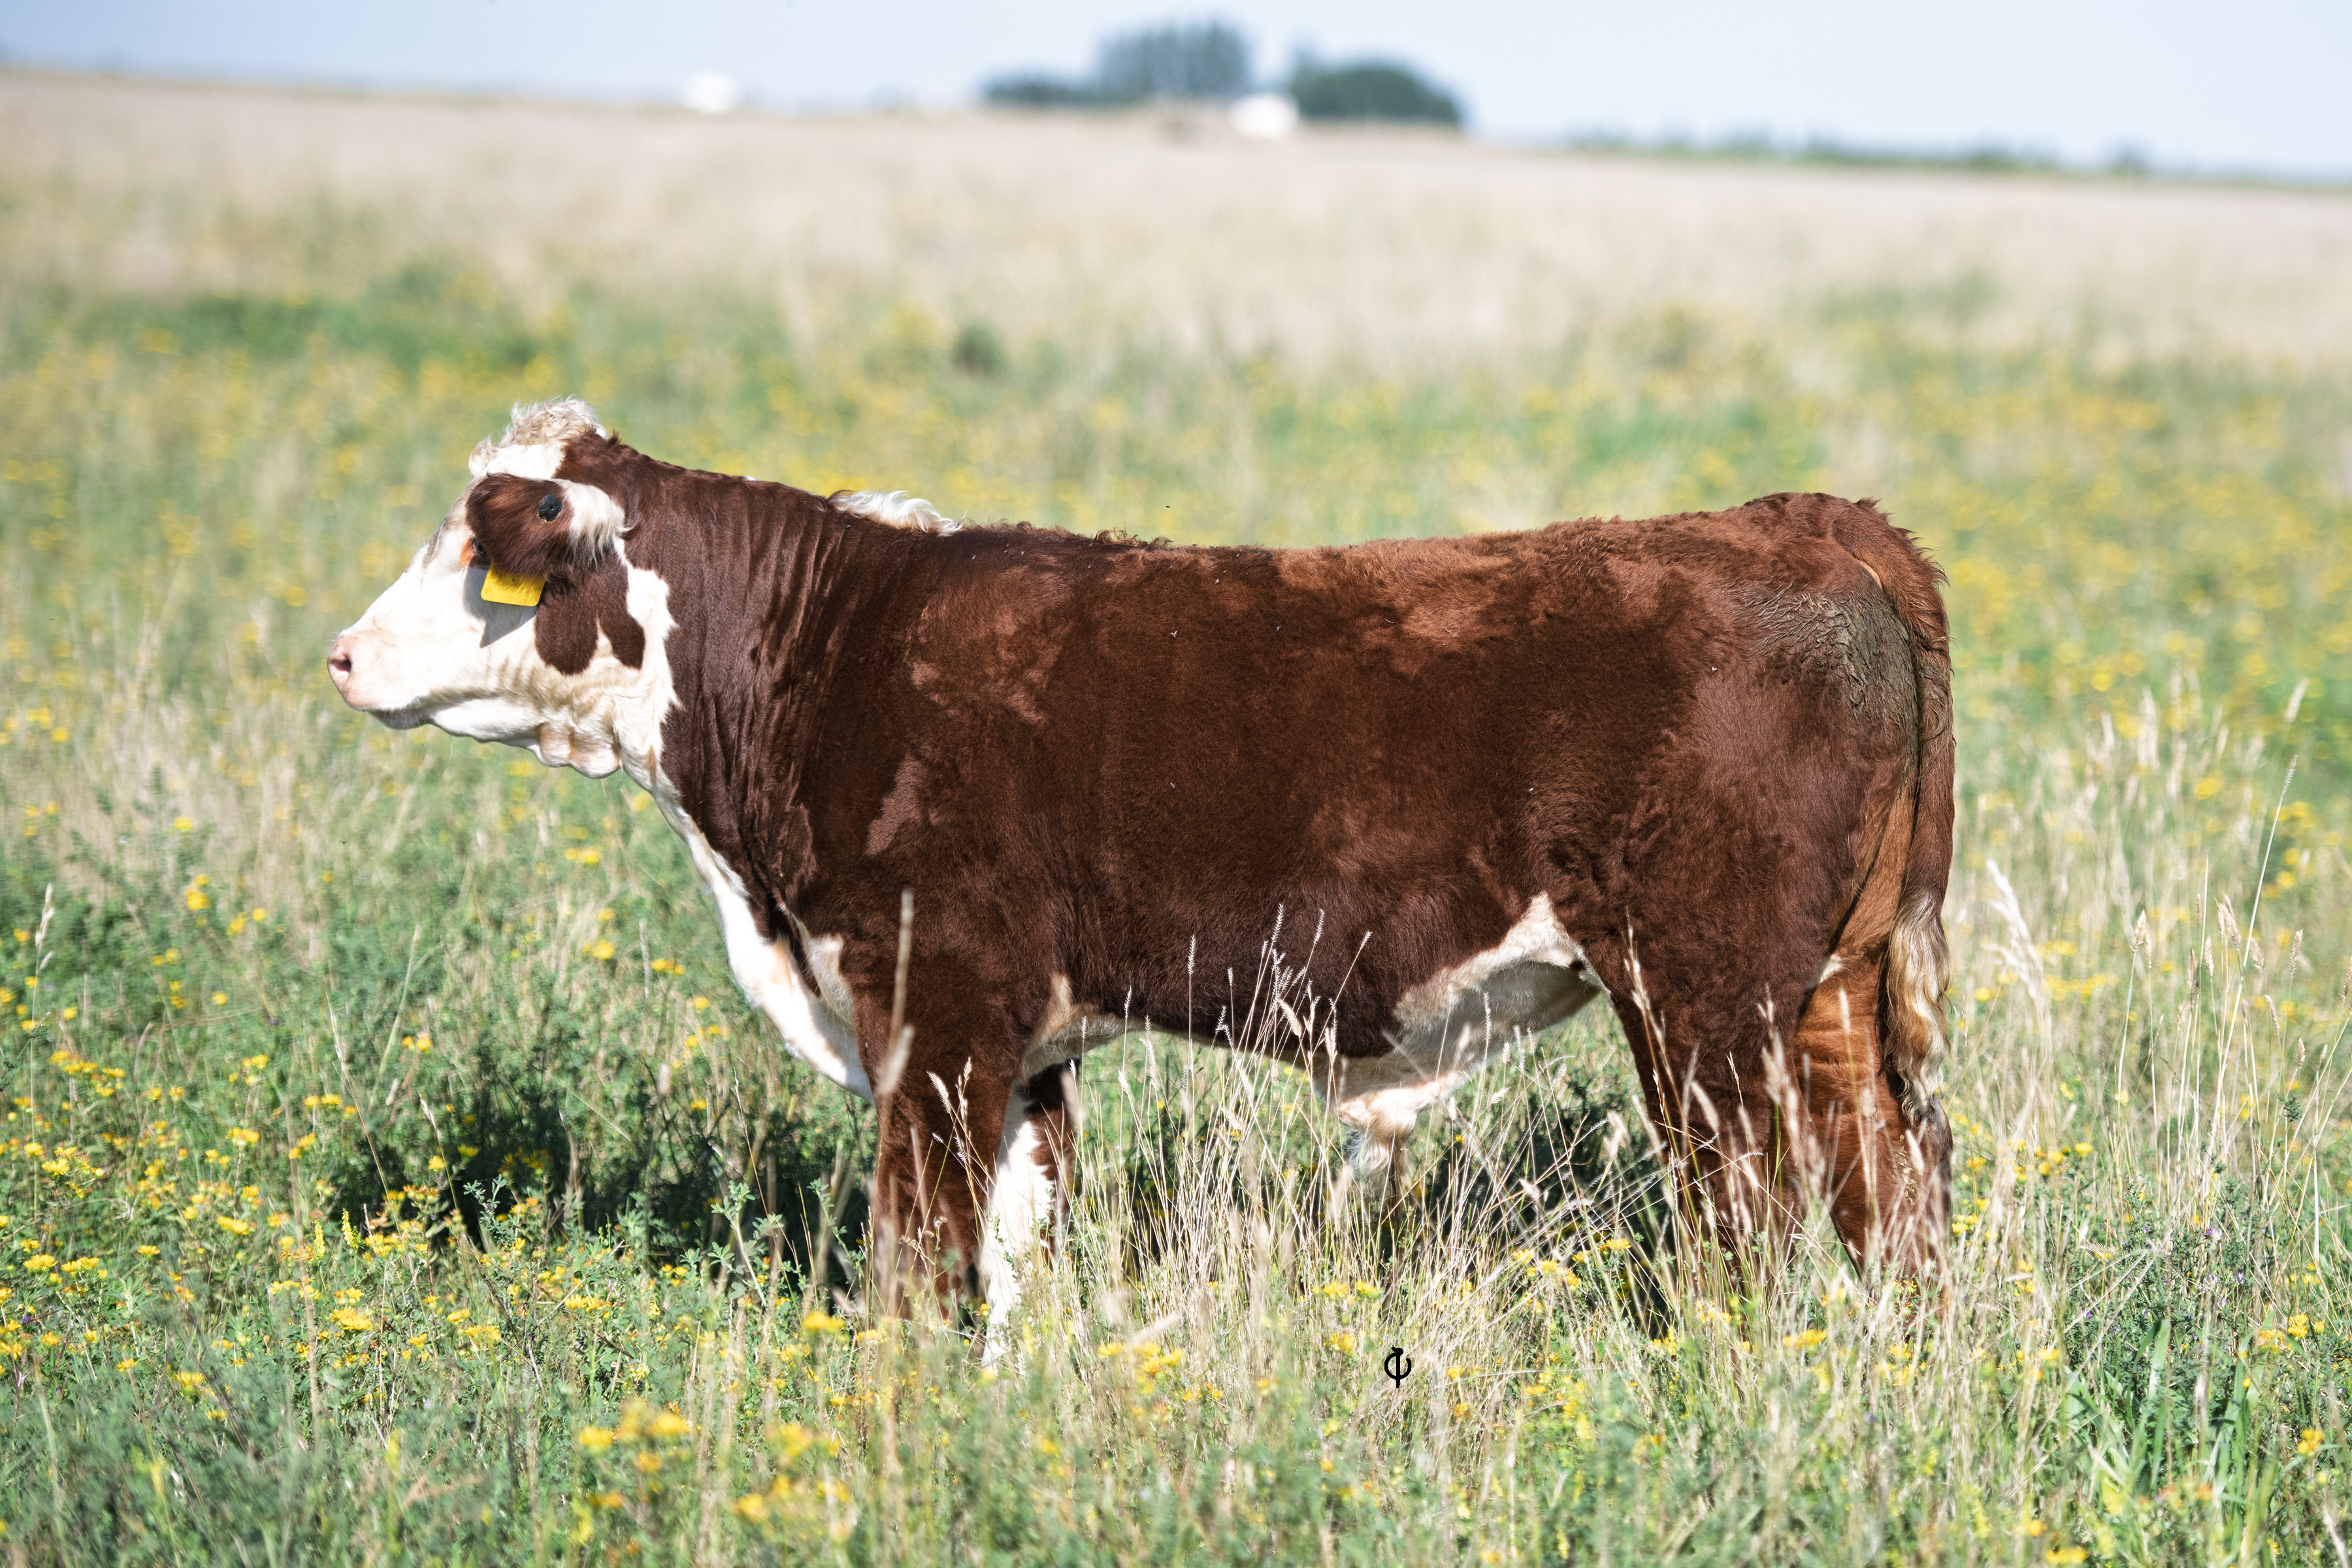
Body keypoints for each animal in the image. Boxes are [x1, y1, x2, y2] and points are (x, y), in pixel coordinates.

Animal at [329, 397, 1955, 1341]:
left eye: (475, 550)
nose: (342, 654)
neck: (832, 659)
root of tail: (1798, 524)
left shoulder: (936, 1007)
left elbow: (915, 1253)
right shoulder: (1023, 1040)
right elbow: (1012, 1251)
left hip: (1702, 1001)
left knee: (1748, 1218)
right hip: (1838, 989)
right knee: (1893, 1191)